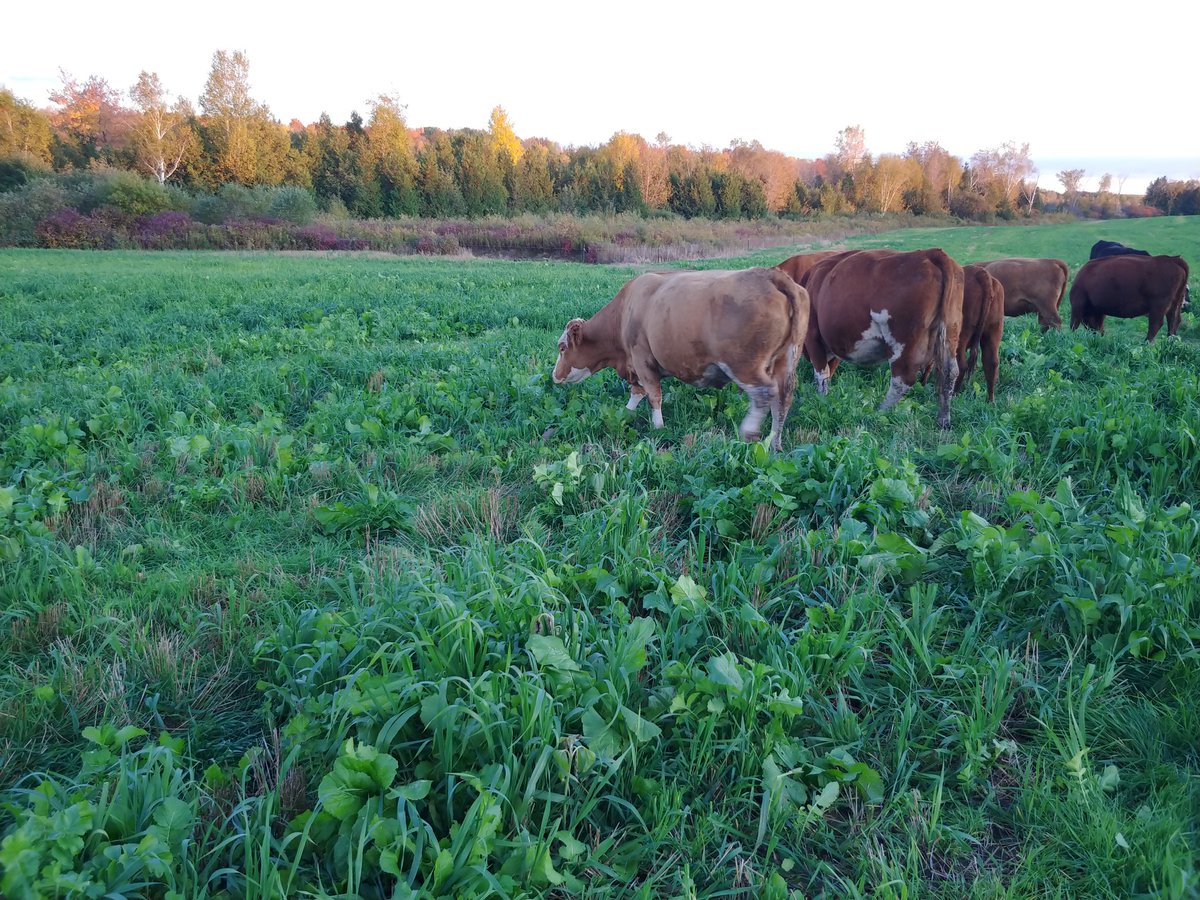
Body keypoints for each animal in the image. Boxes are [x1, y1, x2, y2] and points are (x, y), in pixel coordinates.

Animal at [551, 267, 809, 451]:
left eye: (562, 347)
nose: (554, 375)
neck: (624, 312)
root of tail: (770, 274)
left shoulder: (642, 359)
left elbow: (653, 395)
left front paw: (658, 428)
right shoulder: (636, 365)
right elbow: (637, 393)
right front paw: (627, 414)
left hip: (745, 365)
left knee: (764, 393)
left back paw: (748, 432)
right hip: (785, 362)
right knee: (782, 401)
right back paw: (774, 443)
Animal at [800, 248, 964, 428]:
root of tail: (930, 253)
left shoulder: (813, 336)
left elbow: (821, 375)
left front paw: (821, 400)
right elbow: (829, 372)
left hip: (903, 342)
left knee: (902, 379)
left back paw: (879, 412)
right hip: (951, 330)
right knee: (950, 373)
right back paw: (943, 419)